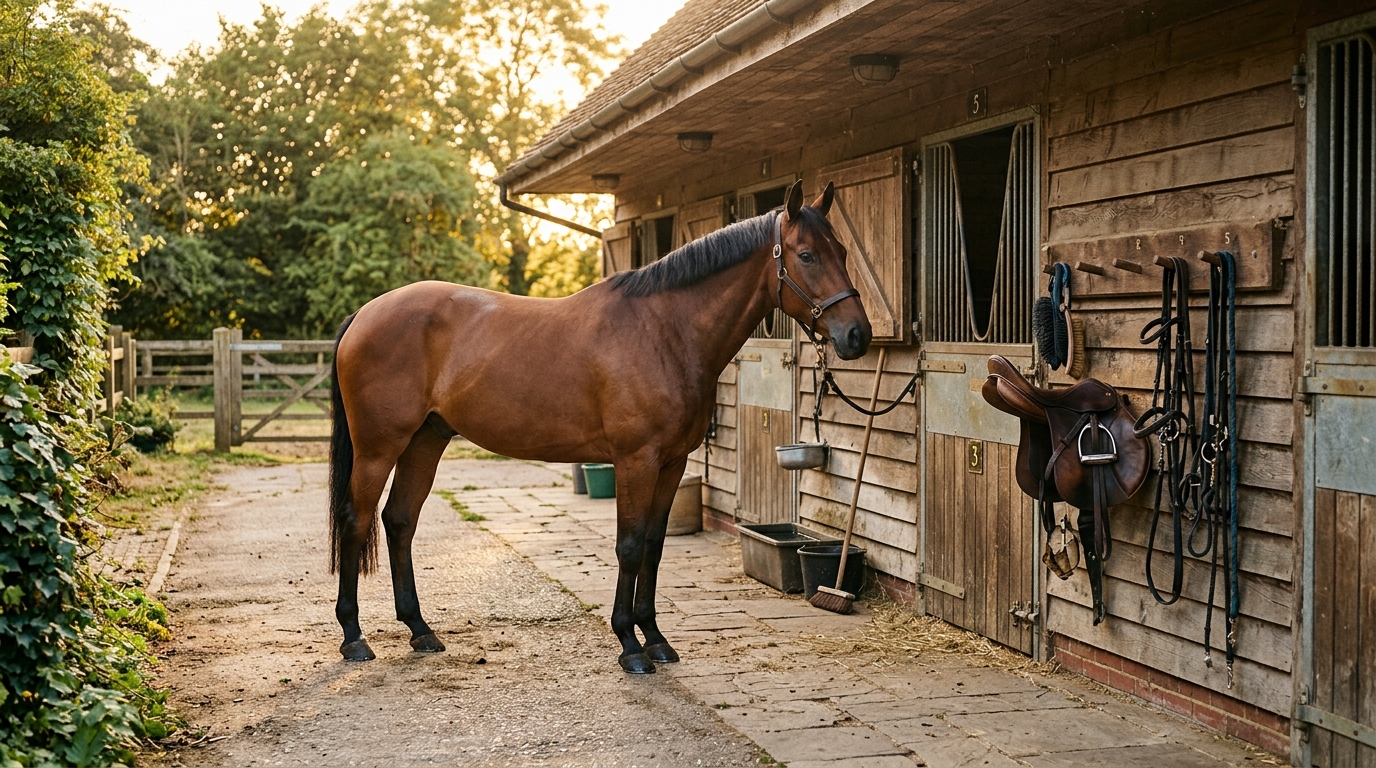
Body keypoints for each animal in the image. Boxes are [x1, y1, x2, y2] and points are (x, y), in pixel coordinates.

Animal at [327, 180, 872, 673]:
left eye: (844, 251)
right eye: (806, 255)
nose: (857, 335)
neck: (665, 331)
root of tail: (364, 314)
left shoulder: (672, 463)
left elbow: (653, 546)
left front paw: (656, 639)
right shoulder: (636, 460)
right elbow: (628, 547)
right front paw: (630, 646)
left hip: (426, 440)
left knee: (400, 521)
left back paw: (420, 631)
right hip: (379, 447)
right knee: (356, 521)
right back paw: (354, 638)